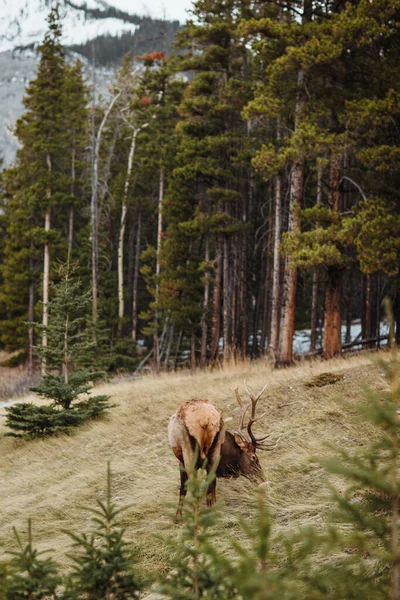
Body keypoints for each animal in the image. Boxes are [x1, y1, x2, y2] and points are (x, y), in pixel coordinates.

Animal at [168, 382, 278, 512]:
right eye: (254, 457)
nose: (263, 479)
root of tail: (204, 420)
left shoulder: (183, 461)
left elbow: (183, 490)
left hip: (190, 453)